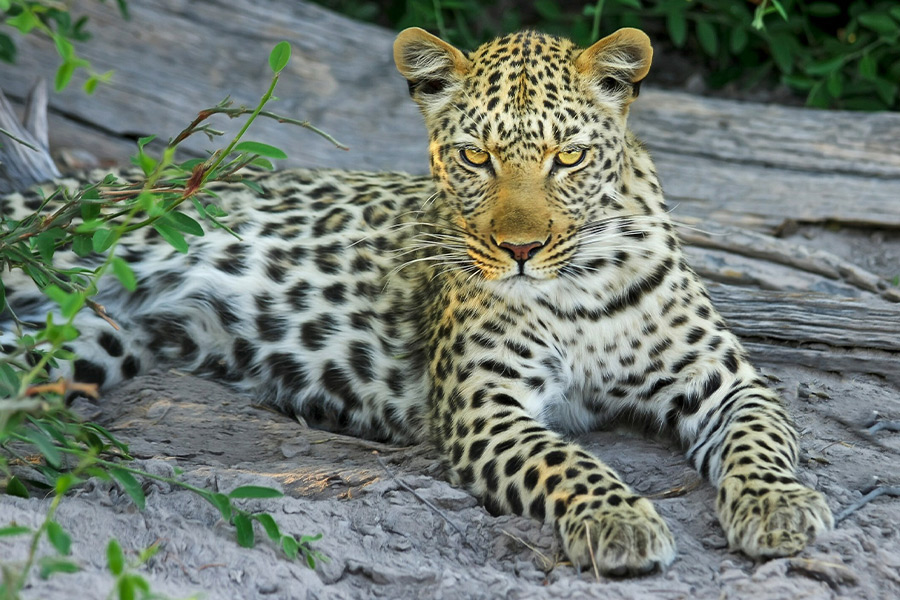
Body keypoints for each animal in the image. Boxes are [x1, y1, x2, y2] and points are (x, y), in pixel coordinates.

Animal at [1, 27, 833, 575]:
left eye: (568, 157)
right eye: (474, 157)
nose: (521, 250)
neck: (581, 282)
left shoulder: (726, 381)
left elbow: (762, 439)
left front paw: (780, 507)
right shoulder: (484, 406)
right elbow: (566, 460)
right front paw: (617, 517)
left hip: (85, 343)